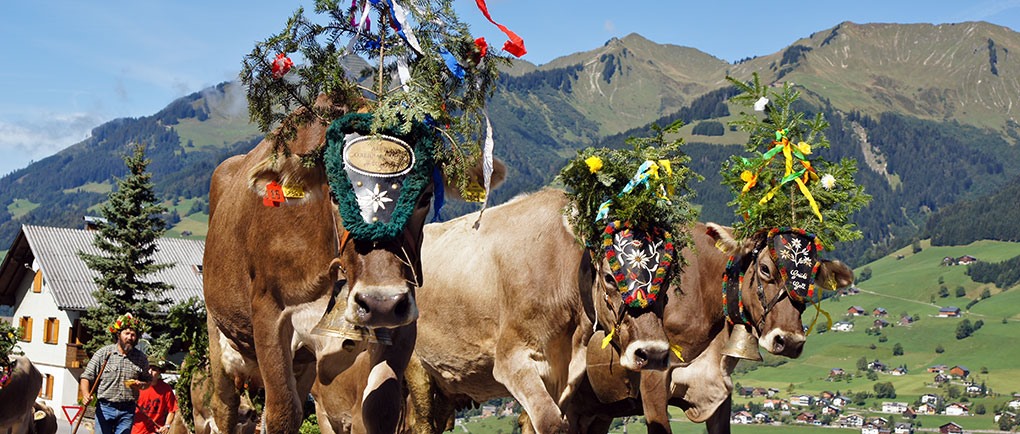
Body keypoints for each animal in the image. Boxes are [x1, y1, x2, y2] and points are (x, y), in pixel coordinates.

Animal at [204, 104, 505, 432]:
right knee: (224, 408)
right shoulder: (269, 311)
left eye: (424, 197)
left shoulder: (400, 323)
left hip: (305, 362)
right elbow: (282, 413)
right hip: (218, 334)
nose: (380, 302)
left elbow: (378, 409)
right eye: (335, 196)